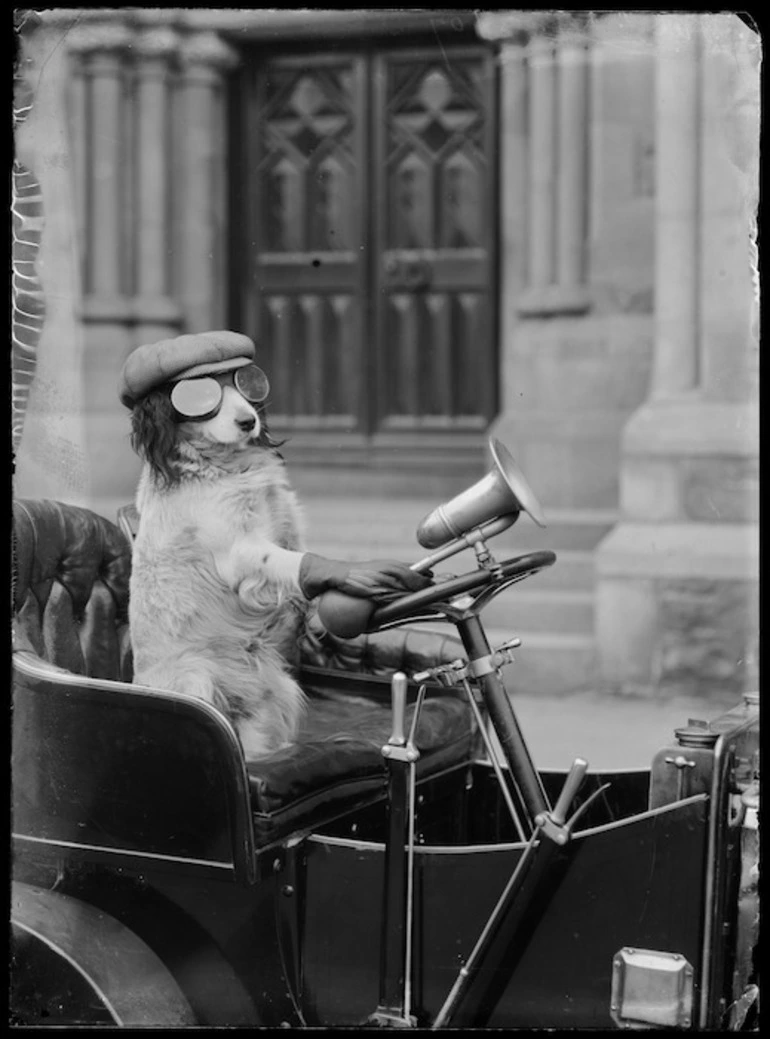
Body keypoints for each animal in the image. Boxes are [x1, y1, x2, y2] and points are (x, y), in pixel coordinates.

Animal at [123, 328, 430, 760]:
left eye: (246, 383)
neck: (224, 466)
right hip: (196, 680)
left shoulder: (287, 523)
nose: (248, 420)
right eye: (201, 396)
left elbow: (297, 560)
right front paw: (352, 572)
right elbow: (288, 562)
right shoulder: (239, 551)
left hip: (278, 694)